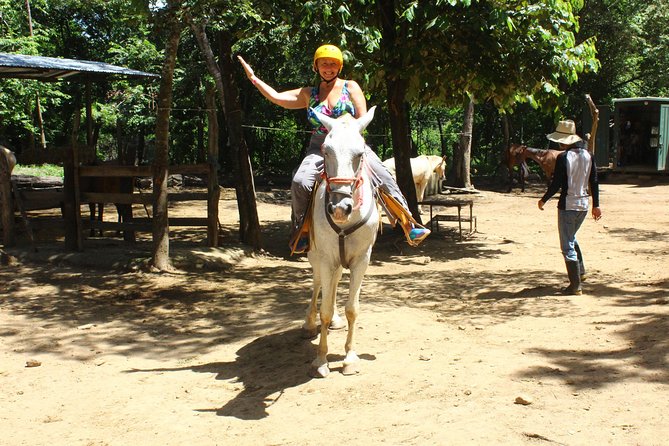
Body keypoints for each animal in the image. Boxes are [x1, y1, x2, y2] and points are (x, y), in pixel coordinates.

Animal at [302, 106, 378, 378]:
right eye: (326, 150)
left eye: (360, 153)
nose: (339, 208)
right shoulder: (325, 258)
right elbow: (324, 308)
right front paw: (321, 360)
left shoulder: (361, 260)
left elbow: (352, 309)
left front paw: (349, 359)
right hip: (316, 257)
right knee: (318, 285)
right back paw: (308, 324)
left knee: (333, 284)